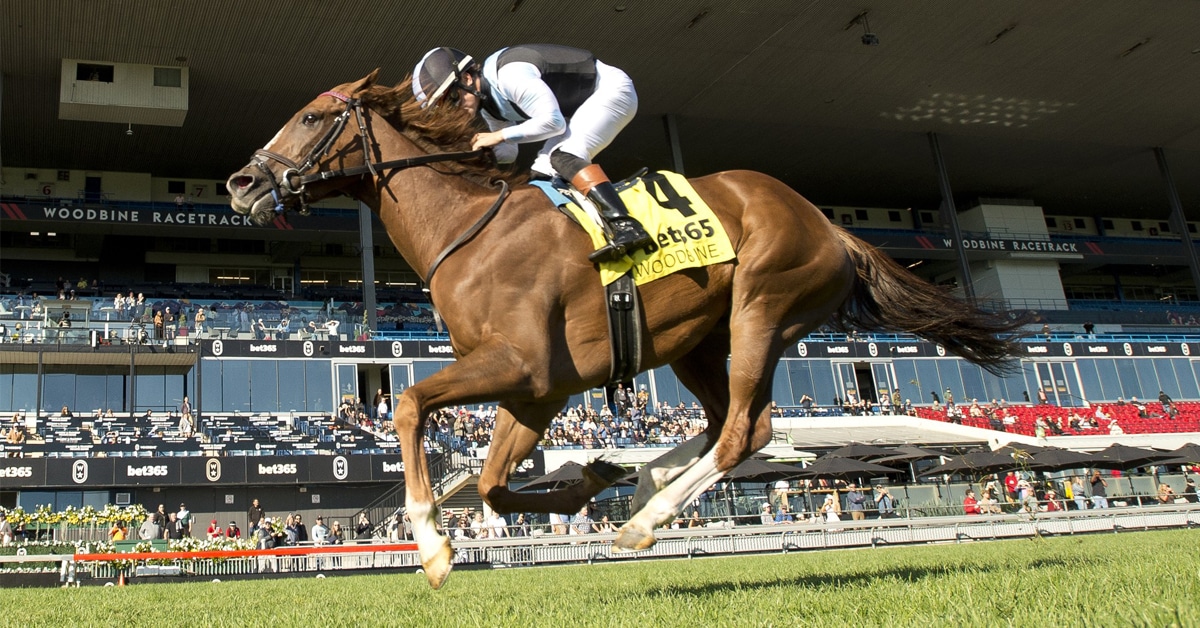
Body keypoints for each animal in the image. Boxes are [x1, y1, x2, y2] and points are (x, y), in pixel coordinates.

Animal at [226, 70, 1022, 589]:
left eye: (309, 117)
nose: (240, 183)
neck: (469, 231)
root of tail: (829, 224)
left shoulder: (520, 364)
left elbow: (411, 405)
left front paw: (431, 546)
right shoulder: (539, 390)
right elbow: (491, 484)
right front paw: (589, 478)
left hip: (762, 307)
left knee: (747, 428)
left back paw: (649, 515)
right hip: (695, 340)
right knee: (737, 423)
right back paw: (644, 482)